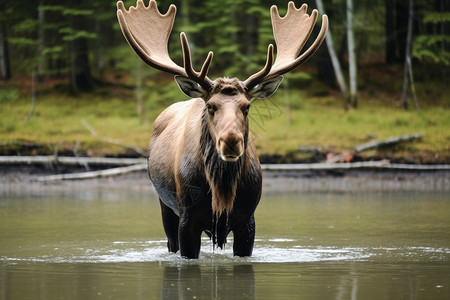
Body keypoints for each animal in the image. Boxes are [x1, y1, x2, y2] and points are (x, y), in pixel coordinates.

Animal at [116, 0, 326, 258]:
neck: (221, 191)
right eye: (210, 106)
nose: (231, 141)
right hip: (164, 204)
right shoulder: (187, 217)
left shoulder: (248, 219)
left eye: (247, 106)